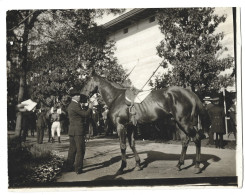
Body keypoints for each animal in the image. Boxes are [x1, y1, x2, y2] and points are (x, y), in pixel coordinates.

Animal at [81, 71, 211, 174]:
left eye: (86, 81)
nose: (82, 98)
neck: (117, 97)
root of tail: (191, 94)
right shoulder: (131, 126)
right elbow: (132, 144)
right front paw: (138, 165)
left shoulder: (121, 126)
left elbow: (122, 146)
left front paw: (122, 167)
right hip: (179, 124)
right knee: (185, 141)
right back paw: (179, 165)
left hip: (185, 123)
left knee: (197, 139)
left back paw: (197, 166)